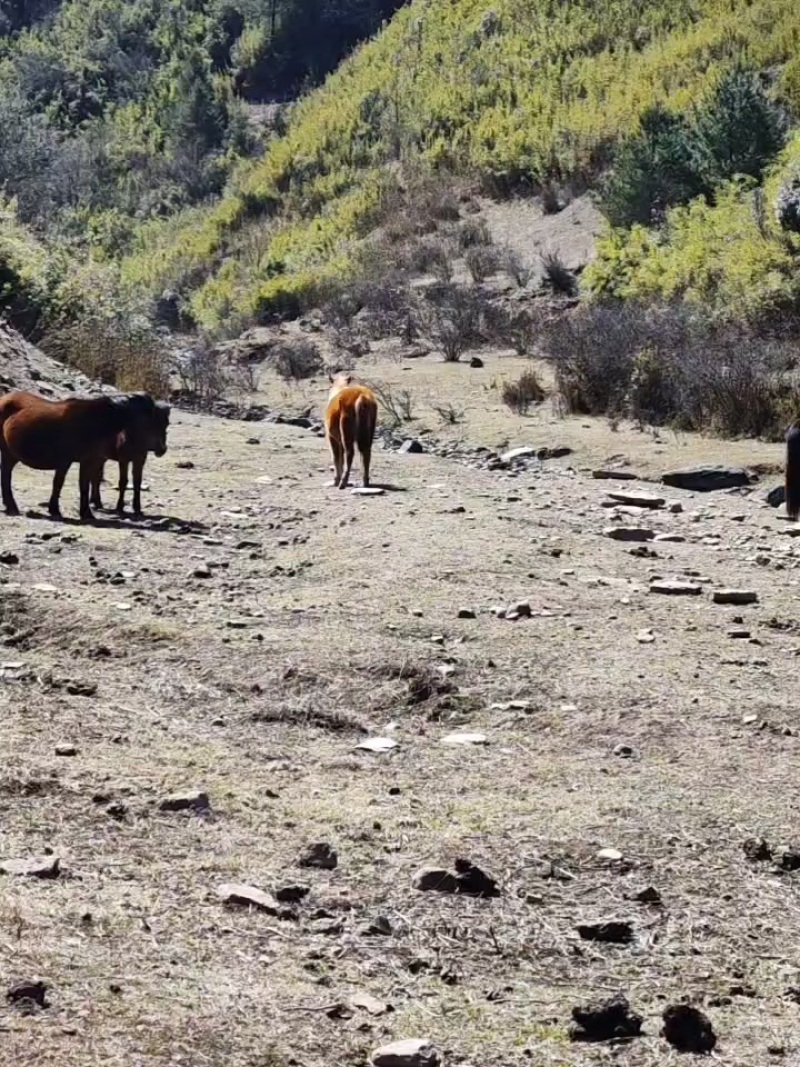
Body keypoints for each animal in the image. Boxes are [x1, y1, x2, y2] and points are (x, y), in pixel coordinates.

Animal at [0, 390, 164, 521]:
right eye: (150, 415)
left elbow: (84, 485)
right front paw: (55, 510)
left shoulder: (88, 460)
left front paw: (86, 513)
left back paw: (10, 506)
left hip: (10, 454)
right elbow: (58, 484)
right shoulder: (65, 461)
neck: (93, 421)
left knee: (5, 475)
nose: (161, 448)